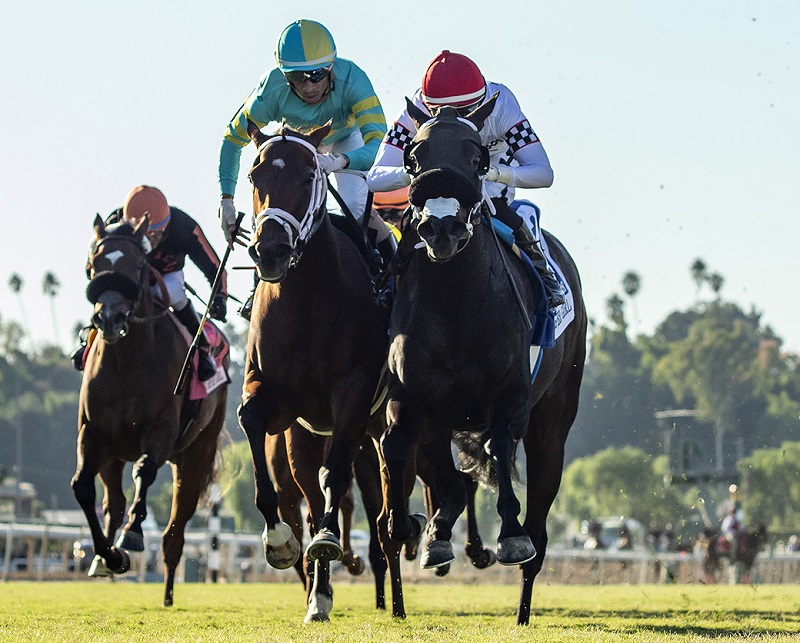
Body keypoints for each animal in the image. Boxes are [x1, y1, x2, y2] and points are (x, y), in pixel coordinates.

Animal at [73, 219, 228, 608]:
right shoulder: (92, 433)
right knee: (113, 502)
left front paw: (131, 536)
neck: (127, 361)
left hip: (195, 456)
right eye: (95, 263)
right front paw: (110, 555)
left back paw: (169, 588)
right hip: (113, 454)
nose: (109, 317)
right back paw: (104, 558)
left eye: (137, 265)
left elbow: (144, 472)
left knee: (176, 527)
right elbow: (82, 488)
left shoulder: (160, 432)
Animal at [236, 121, 390, 624]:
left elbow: (336, 473)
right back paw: (318, 597)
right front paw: (278, 541)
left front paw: (327, 540)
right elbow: (250, 419)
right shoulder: (278, 401)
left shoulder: (353, 395)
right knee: (312, 491)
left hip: (377, 427)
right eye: (254, 176)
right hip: (303, 436)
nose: (270, 250)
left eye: (309, 177)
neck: (304, 298)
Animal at [382, 97, 588, 624]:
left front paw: (508, 536)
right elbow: (412, 466)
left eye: (477, 157)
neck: (456, 304)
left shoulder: (510, 400)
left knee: (539, 524)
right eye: (412, 156)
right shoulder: (412, 407)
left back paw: (522, 607)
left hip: (554, 419)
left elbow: (499, 451)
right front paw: (422, 540)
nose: (441, 227)